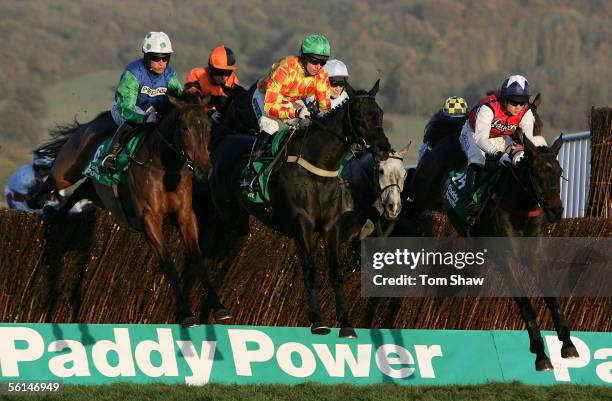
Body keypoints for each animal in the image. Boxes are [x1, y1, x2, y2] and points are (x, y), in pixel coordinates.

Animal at [28, 93, 232, 324]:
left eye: (208, 127)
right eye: (185, 128)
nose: (203, 169)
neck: (164, 168)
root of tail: (91, 123)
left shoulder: (186, 216)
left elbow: (198, 259)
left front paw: (219, 308)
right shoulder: (149, 220)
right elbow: (168, 264)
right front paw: (188, 316)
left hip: (98, 193)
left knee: (79, 192)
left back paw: (56, 218)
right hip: (66, 171)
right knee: (53, 180)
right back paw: (37, 203)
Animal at [210, 79, 402, 336]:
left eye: (380, 113)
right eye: (359, 115)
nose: (383, 148)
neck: (318, 167)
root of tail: (223, 140)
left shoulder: (331, 228)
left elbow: (336, 272)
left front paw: (346, 323)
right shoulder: (302, 225)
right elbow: (310, 270)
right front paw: (318, 321)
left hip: (240, 223)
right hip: (226, 215)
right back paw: (216, 307)